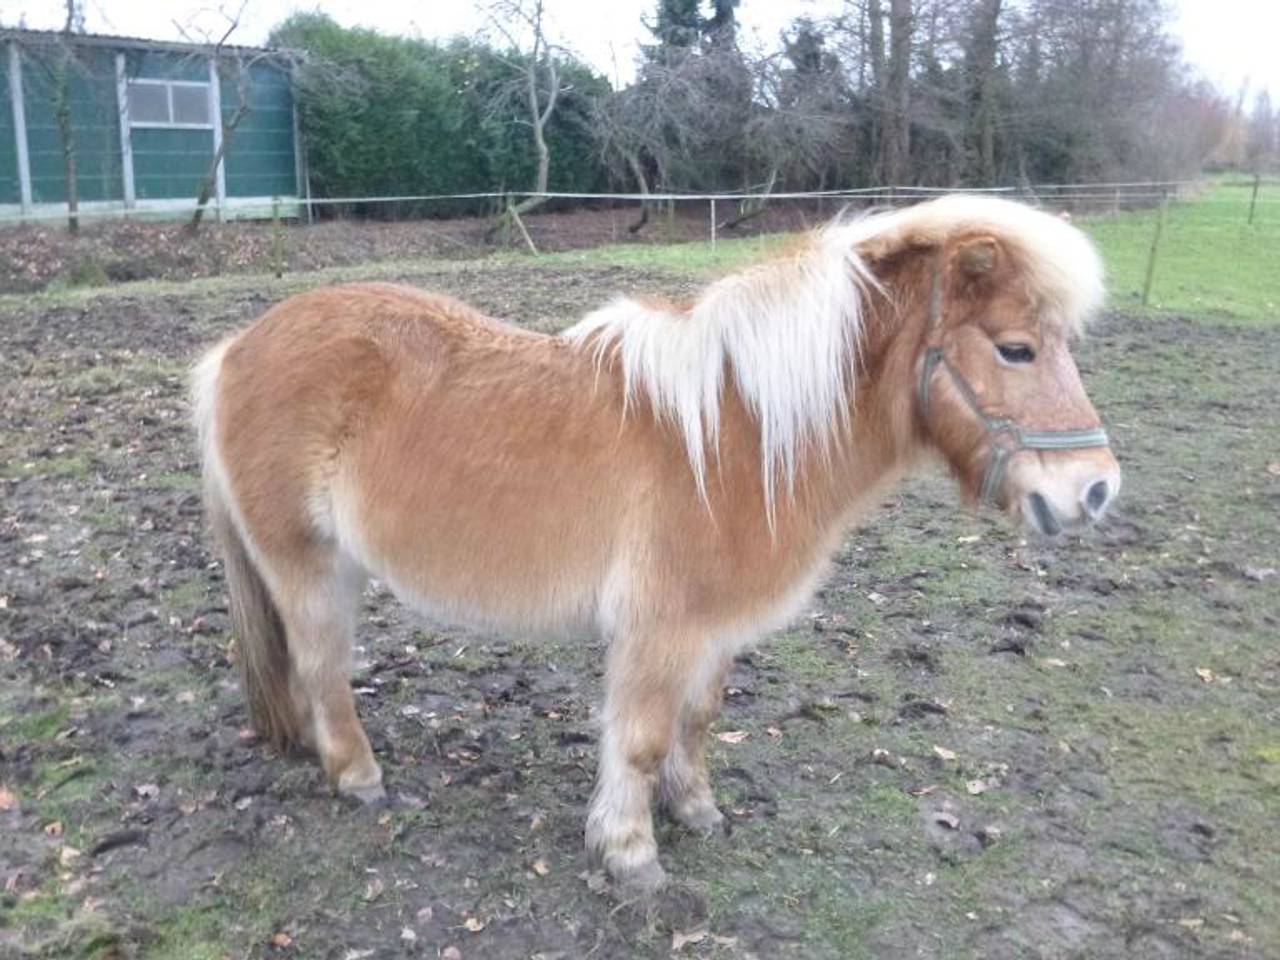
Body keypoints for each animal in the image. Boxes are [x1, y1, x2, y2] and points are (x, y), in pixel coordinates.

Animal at [191, 195, 1120, 890]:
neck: (742, 436)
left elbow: (695, 721)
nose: (1097, 489)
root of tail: (233, 350)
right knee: (322, 670)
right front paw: (630, 852)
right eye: (1016, 349)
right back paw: (360, 779)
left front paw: (694, 810)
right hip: (307, 567)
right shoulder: (659, 629)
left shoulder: (712, 630)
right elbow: (637, 740)